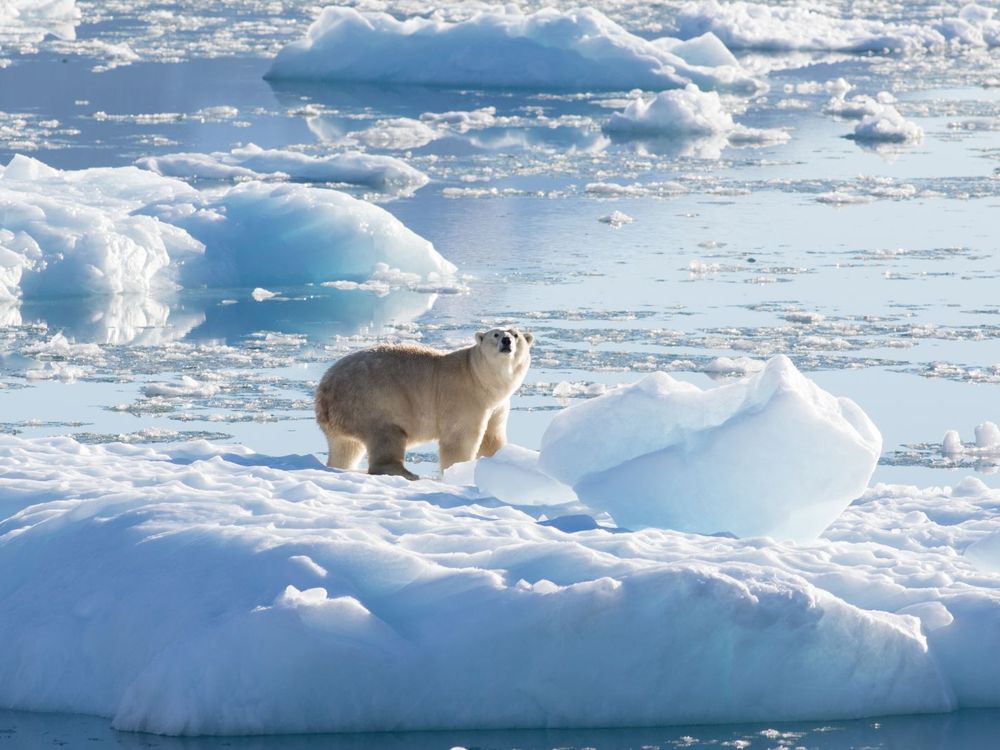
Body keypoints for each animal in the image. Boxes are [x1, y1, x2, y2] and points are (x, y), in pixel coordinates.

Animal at [314, 328, 532, 482]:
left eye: (516, 334)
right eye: (495, 334)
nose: (506, 341)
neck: (479, 376)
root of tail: (324, 390)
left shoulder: (498, 405)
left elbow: (492, 437)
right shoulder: (463, 396)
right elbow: (460, 439)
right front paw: (458, 471)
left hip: (344, 416)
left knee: (346, 447)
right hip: (372, 400)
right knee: (386, 435)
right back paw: (406, 473)